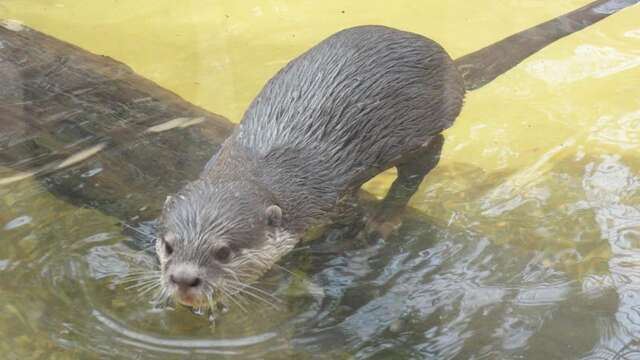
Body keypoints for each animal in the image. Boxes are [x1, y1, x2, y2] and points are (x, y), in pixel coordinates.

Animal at [154, 0, 640, 310]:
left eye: (224, 252)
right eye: (169, 245)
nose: (184, 280)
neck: (259, 165)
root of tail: (449, 67)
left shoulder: (327, 202)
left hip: (420, 129)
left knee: (426, 160)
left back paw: (385, 219)